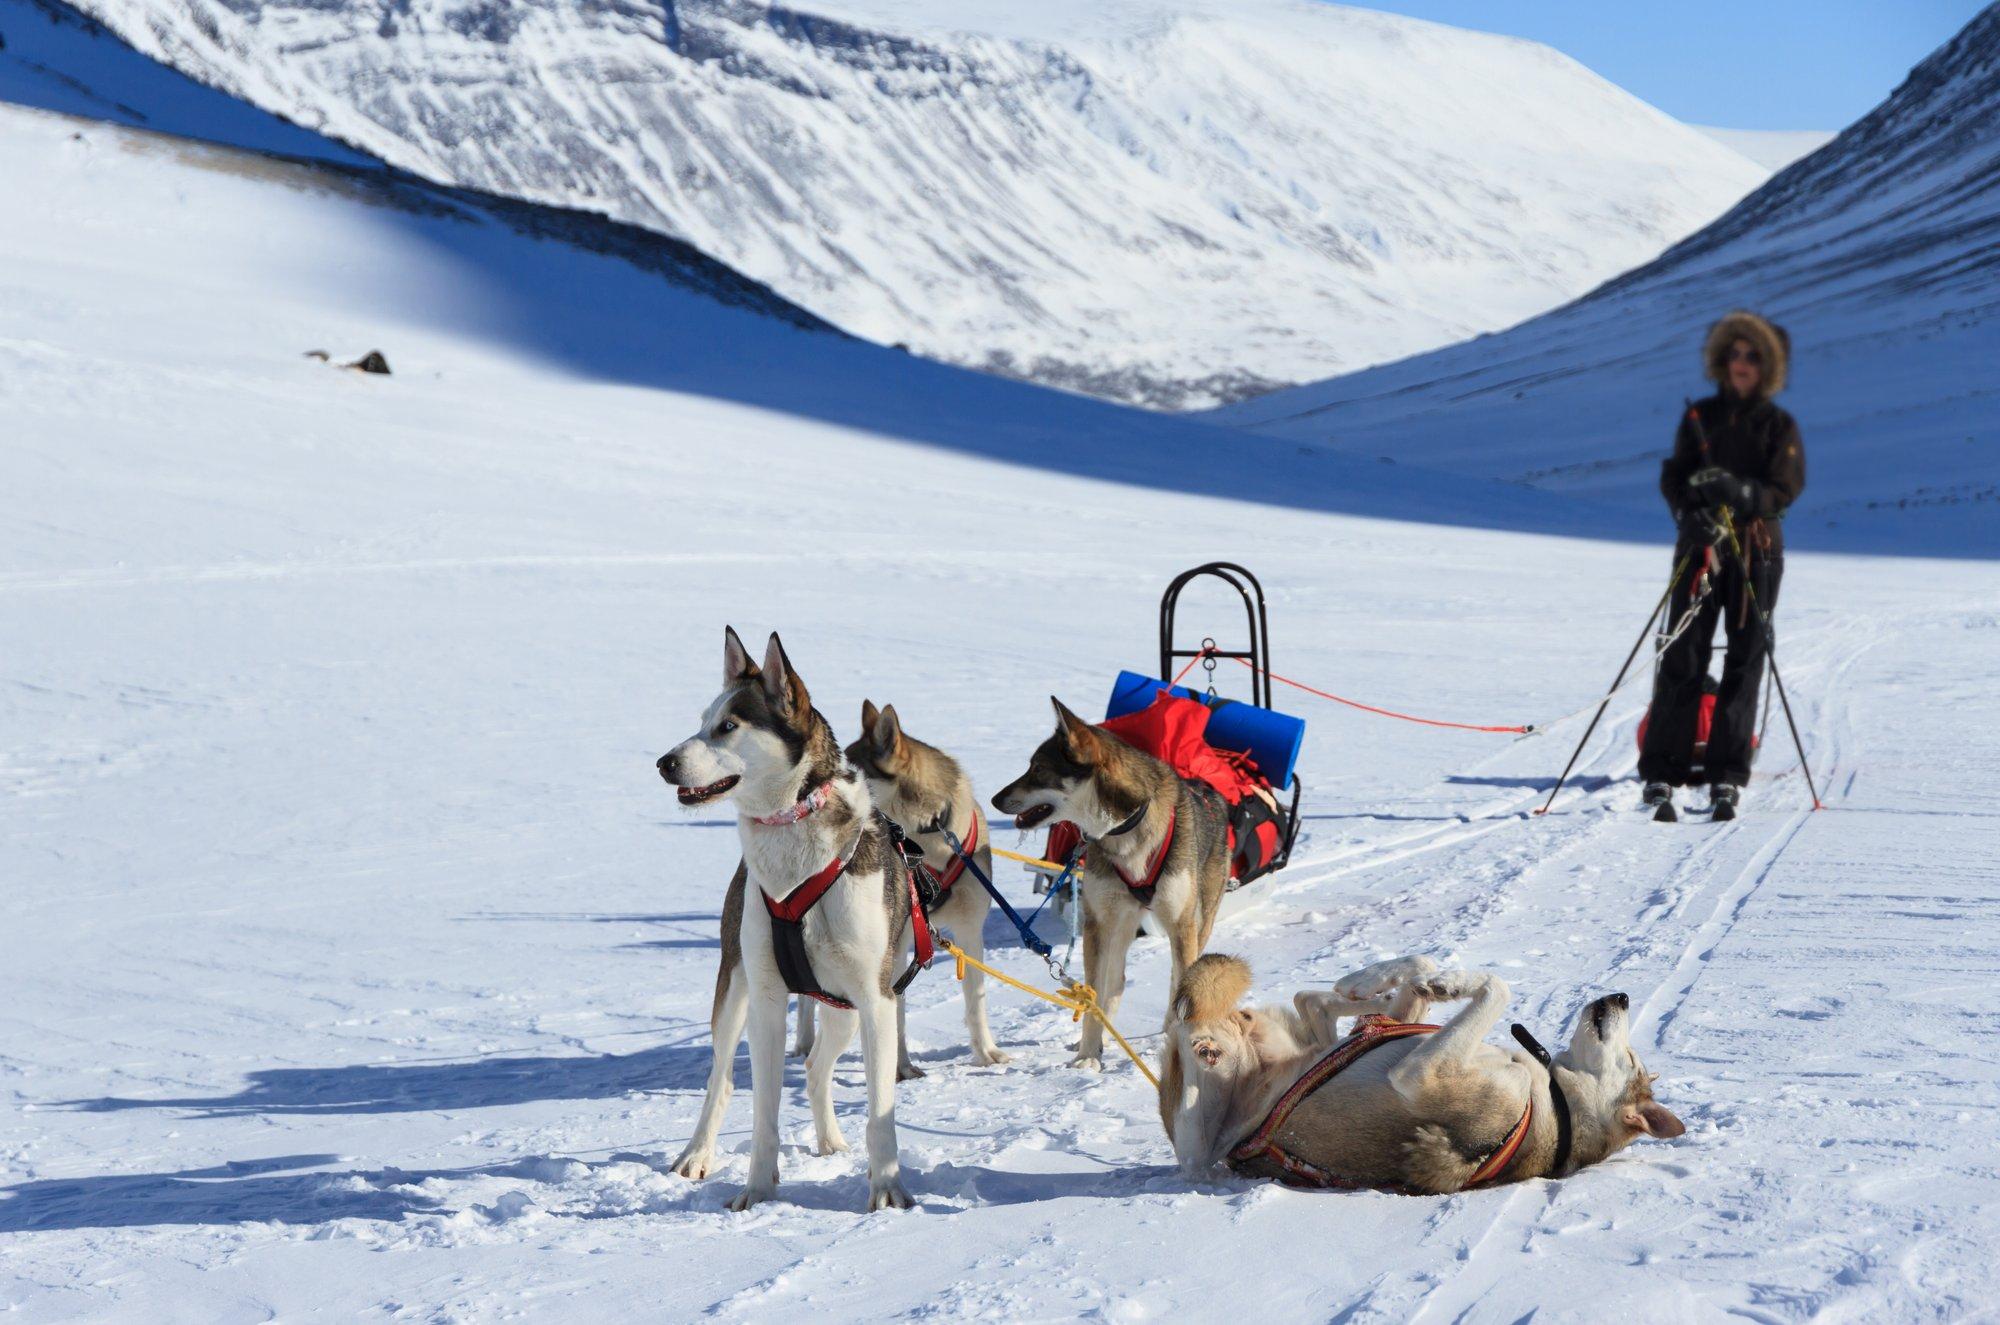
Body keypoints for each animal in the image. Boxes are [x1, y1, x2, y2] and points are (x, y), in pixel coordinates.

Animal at [664, 632, 920, 1216]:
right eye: (702, 721)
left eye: (729, 726)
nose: (665, 763)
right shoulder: (766, 996)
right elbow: (763, 1114)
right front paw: (758, 1190)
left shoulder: (877, 1000)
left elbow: (881, 1112)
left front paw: (887, 1189)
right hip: (733, 991)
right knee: (721, 1080)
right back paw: (696, 1154)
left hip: (845, 1008)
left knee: (816, 1067)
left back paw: (829, 1139)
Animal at [988, 700, 1224, 1072]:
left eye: (1038, 769)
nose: (994, 799)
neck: (1126, 827)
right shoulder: (1098, 924)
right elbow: (1094, 995)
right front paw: (1088, 1055)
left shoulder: (1181, 924)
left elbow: (1183, 990)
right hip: (1120, 926)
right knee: (1116, 982)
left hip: (1195, 924)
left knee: (1178, 980)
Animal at [1168, 956, 1680, 1192]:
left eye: (1631, 1059)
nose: (1622, 997)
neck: (1555, 1100)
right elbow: (1430, 968)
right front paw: (1412, 980)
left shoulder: (1421, 1073)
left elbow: (1498, 986)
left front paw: (1450, 982)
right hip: (1356, 1031)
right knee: (1315, 1003)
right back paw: (1363, 987)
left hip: (1197, 1130)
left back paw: (1200, 1040)